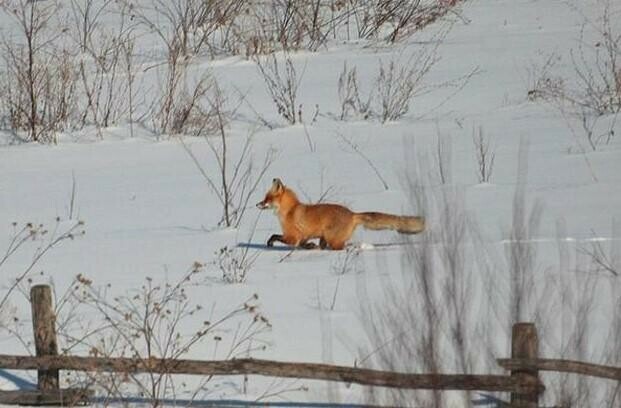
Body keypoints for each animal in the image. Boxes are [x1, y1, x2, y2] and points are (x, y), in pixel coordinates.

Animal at [254, 178, 424, 249]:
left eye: (267, 199)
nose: (256, 204)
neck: (290, 211)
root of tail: (353, 213)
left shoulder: (292, 237)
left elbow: (274, 236)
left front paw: (269, 243)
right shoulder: (303, 237)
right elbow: (304, 244)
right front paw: (309, 247)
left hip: (332, 240)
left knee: (342, 247)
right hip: (325, 238)